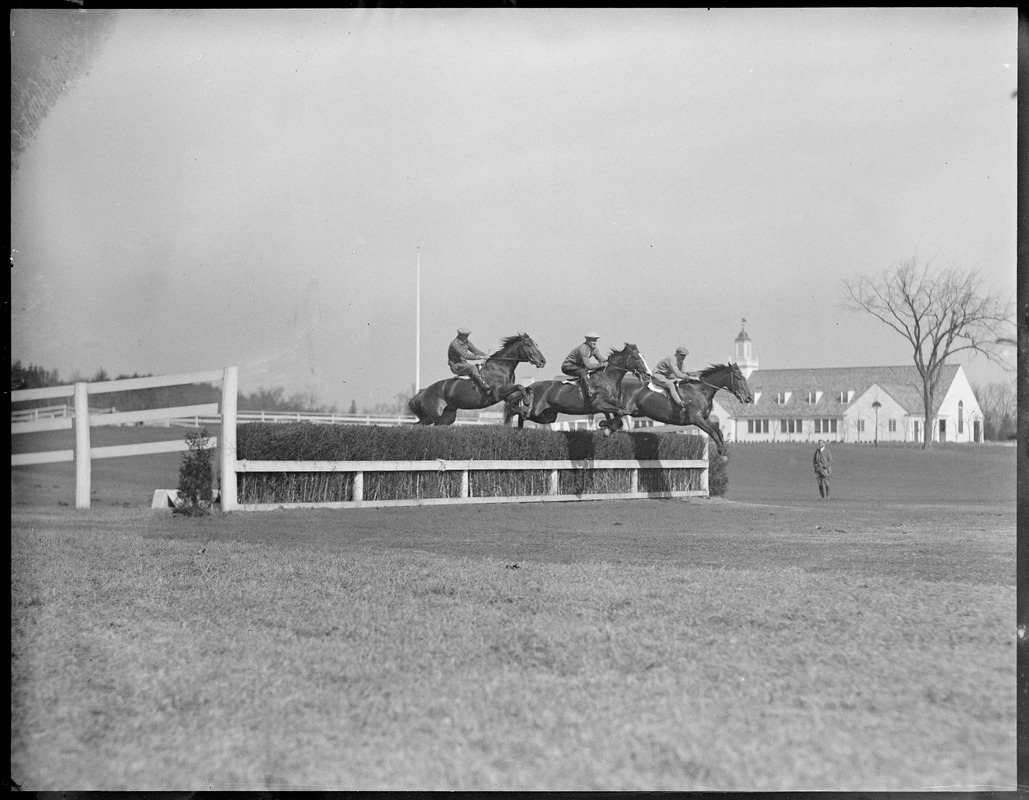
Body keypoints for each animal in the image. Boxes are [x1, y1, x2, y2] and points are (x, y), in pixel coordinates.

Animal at [407, 331, 547, 424]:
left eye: (536, 344)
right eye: (528, 344)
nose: (542, 361)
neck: (501, 367)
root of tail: (423, 392)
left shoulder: (507, 394)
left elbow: (526, 390)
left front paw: (525, 407)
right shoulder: (497, 393)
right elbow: (521, 386)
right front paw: (526, 403)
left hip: (446, 417)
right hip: (432, 416)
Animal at [500, 339, 650, 434]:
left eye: (643, 357)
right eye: (637, 358)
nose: (648, 375)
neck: (607, 378)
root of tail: (530, 386)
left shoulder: (610, 405)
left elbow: (620, 415)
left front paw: (605, 425)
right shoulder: (598, 404)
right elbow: (620, 412)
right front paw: (607, 429)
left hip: (547, 415)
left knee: (523, 415)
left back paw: (519, 429)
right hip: (536, 410)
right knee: (517, 411)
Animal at [617, 360, 757, 455]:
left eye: (744, 377)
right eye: (738, 377)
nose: (749, 398)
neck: (701, 390)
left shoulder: (705, 418)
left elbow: (719, 432)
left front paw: (722, 450)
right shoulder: (697, 419)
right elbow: (713, 433)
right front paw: (721, 451)